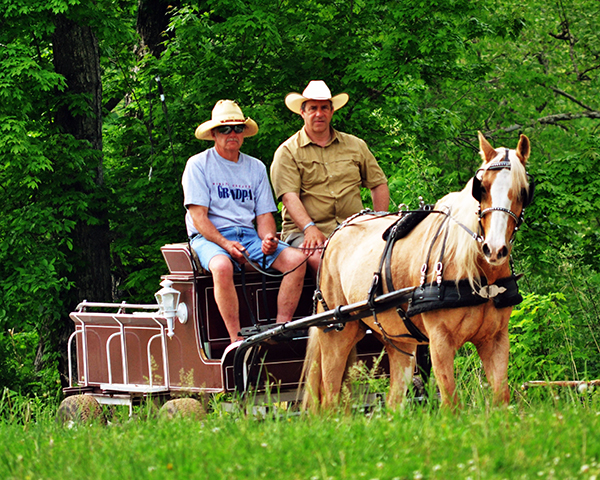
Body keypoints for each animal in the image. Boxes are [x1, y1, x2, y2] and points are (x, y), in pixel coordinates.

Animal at [302, 131, 532, 408]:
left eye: (523, 191)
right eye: (482, 188)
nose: (494, 249)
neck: (477, 276)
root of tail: (336, 232)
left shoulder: (495, 340)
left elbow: (501, 399)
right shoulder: (440, 340)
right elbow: (451, 404)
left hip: (398, 340)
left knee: (393, 402)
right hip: (337, 334)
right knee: (330, 399)